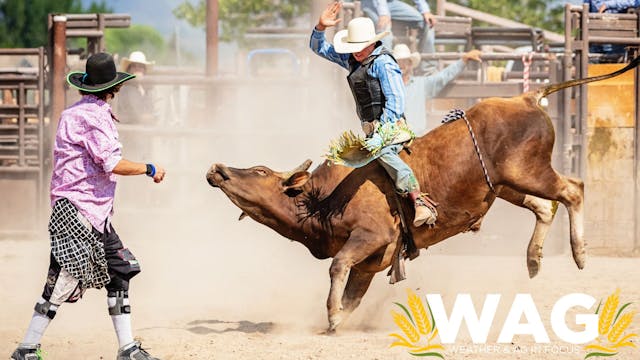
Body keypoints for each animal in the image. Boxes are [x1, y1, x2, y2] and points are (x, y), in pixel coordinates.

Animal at [206, 57, 640, 332]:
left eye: (261, 171)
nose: (217, 170)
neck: (322, 199)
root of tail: (525, 97)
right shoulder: (372, 263)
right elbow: (353, 296)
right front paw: (337, 319)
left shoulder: (371, 237)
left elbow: (336, 267)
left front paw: (330, 315)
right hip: (506, 186)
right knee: (544, 207)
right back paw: (533, 259)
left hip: (529, 173)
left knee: (572, 190)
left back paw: (579, 253)